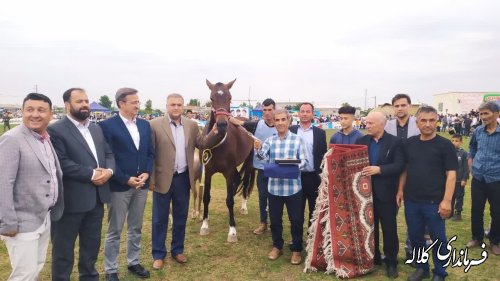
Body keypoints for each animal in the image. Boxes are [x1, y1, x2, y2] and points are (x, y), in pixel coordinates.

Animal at [199, 78, 256, 241]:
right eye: (211, 98)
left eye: (229, 97)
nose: (222, 124)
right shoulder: (208, 171)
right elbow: (206, 197)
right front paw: (204, 225)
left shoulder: (228, 172)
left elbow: (229, 200)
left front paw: (232, 231)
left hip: (249, 163)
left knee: (246, 181)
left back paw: (243, 206)